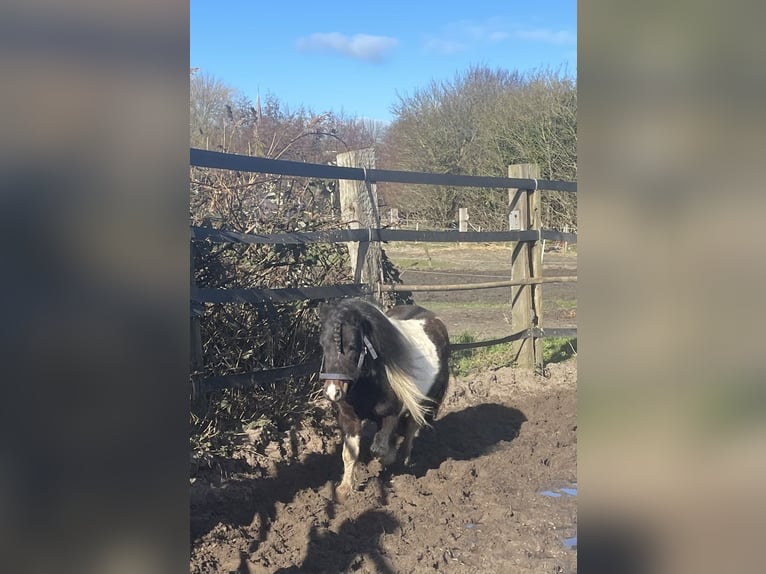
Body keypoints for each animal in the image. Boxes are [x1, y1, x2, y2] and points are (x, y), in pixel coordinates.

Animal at [318, 298, 450, 500]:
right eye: (323, 345)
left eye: (352, 347)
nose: (333, 392)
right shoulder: (349, 419)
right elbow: (350, 453)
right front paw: (345, 488)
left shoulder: (391, 415)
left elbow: (380, 449)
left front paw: (389, 459)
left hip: (424, 403)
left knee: (410, 430)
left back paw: (403, 459)